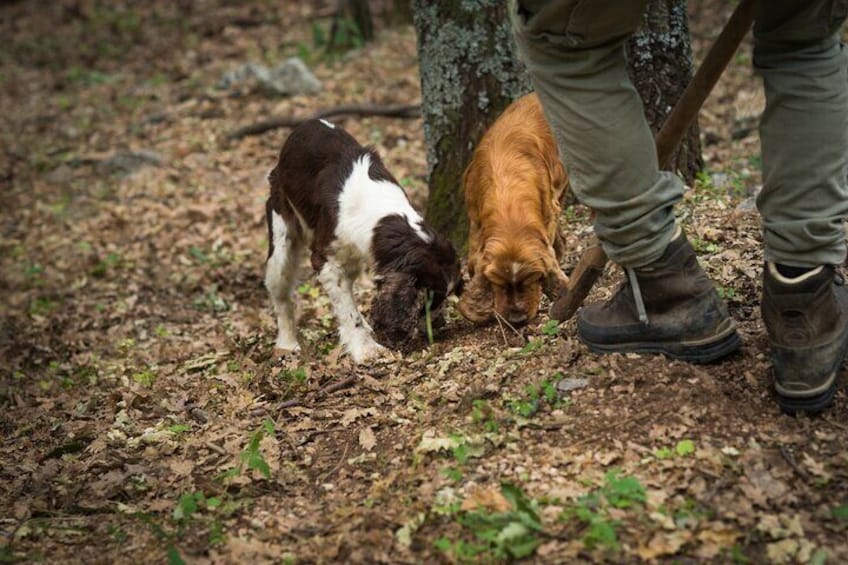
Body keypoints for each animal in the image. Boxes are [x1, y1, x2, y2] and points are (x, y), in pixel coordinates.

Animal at [266, 120, 460, 362]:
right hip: (281, 237)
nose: (440, 324)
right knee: (281, 293)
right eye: (431, 297)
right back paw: (287, 344)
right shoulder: (326, 261)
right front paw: (367, 350)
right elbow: (349, 311)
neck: (379, 213)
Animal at [458, 93, 568, 326]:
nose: (517, 319)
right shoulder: (475, 219)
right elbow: (473, 260)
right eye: (499, 283)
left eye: (533, 278)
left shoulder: (549, 209)